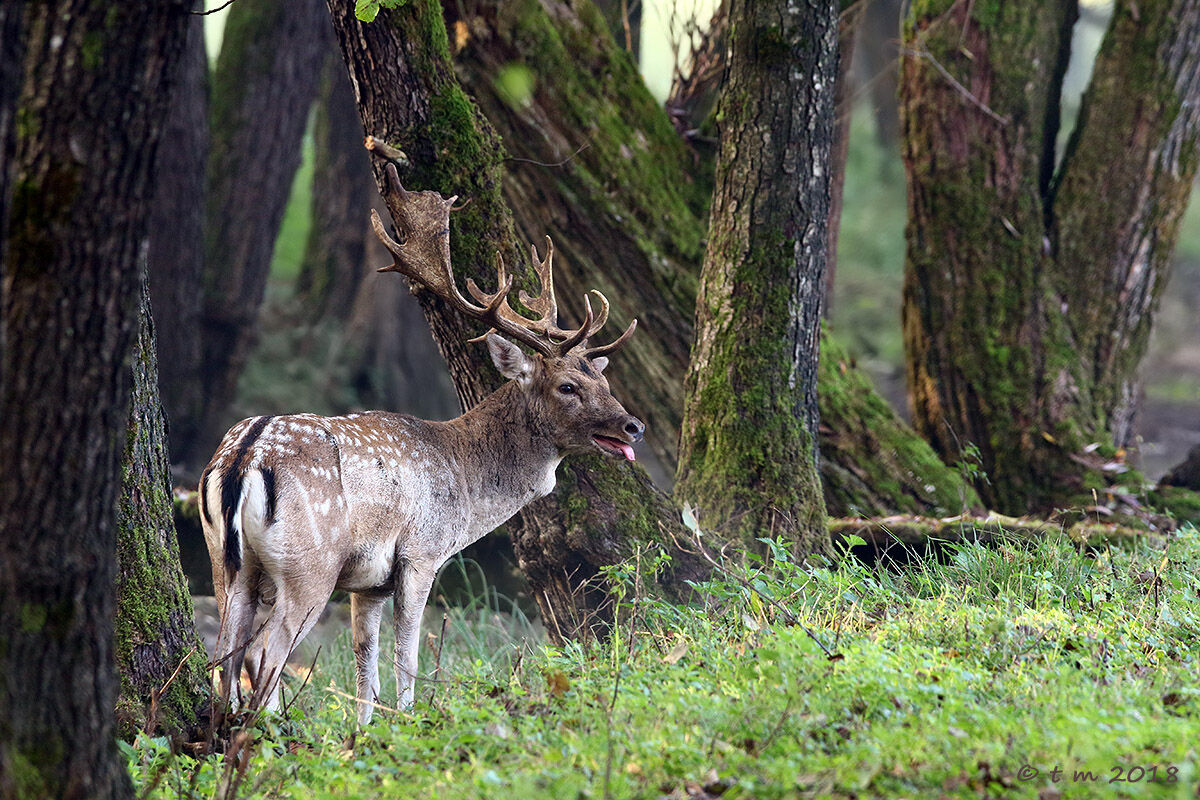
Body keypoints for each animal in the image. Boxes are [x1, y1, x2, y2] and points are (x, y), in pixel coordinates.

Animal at [199, 169, 643, 725]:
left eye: (601, 380)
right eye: (568, 386)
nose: (634, 426)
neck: (466, 484)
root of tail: (244, 459)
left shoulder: (367, 582)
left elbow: (365, 662)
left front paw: (366, 732)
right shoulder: (421, 552)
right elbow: (405, 654)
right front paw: (409, 720)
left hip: (226, 559)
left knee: (223, 653)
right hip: (310, 563)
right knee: (264, 653)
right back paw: (268, 732)